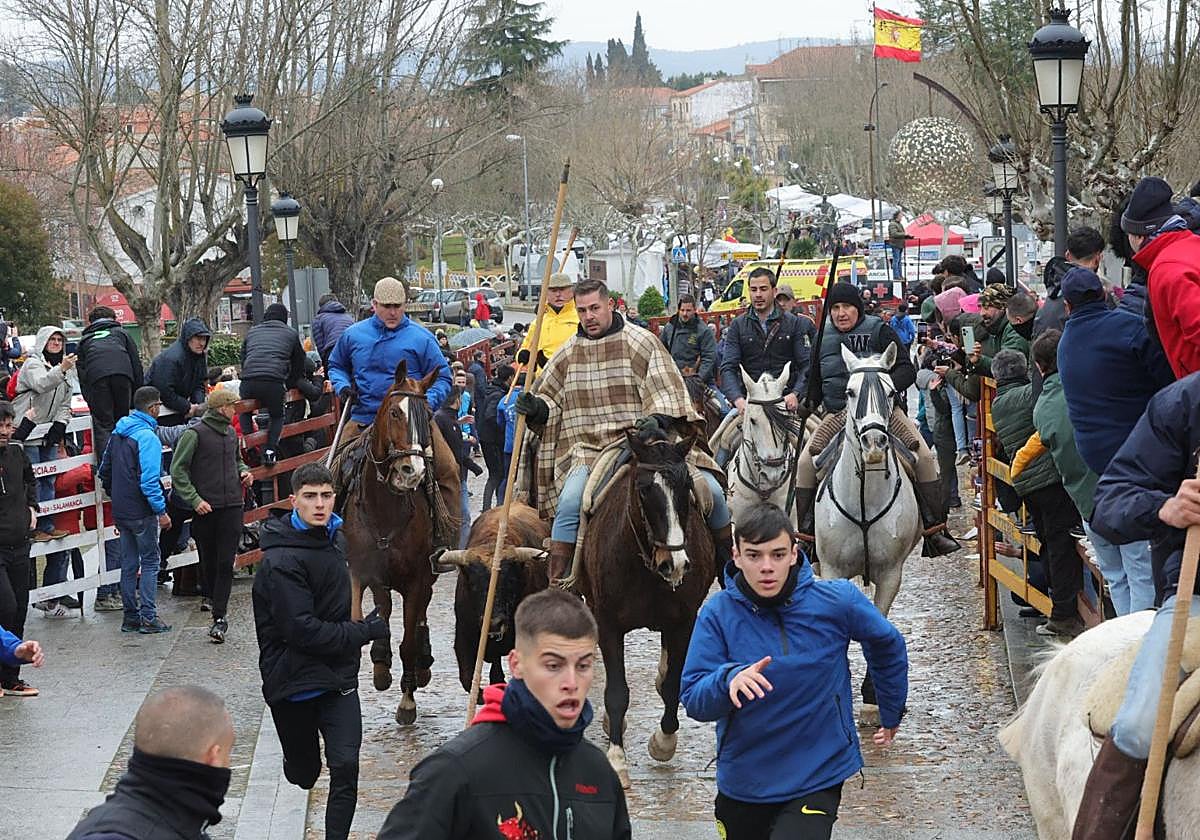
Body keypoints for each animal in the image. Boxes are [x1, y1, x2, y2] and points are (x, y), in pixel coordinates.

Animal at [342, 360, 445, 724]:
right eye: (395, 413)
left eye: (426, 414)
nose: (410, 470)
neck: (386, 507)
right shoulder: (369, 572)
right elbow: (378, 614)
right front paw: (380, 666)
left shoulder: (417, 578)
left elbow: (409, 640)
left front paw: (407, 701)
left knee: (422, 613)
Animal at [574, 430, 716, 789]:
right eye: (644, 489)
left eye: (686, 488)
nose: (675, 563)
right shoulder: (607, 623)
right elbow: (616, 692)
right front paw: (617, 759)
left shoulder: (683, 622)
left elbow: (673, 683)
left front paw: (663, 742)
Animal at [814, 344, 921, 713]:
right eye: (850, 392)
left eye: (889, 392)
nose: (874, 444)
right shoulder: (831, 571)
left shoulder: (890, 573)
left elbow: (879, 622)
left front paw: (874, 690)